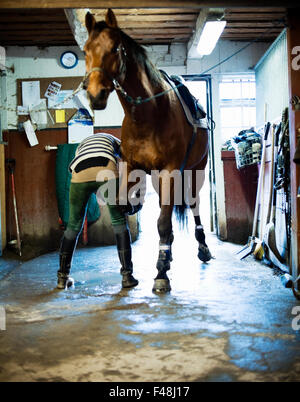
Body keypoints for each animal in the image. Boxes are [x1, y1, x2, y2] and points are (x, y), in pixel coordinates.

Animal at [83, 9, 212, 292]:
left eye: (115, 48)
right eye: (85, 50)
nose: (96, 95)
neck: (148, 115)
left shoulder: (171, 172)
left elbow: (163, 222)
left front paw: (161, 272)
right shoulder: (134, 169)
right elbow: (124, 206)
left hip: (196, 171)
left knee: (194, 205)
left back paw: (203, 249)